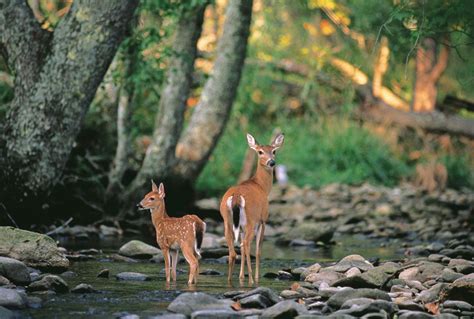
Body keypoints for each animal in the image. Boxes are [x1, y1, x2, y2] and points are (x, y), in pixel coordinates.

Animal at [219, 132, 284, 284]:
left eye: (274, 151)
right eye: (260, 152)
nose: (271, 162)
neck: (261, 186)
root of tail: (236, 196)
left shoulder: (241, 227)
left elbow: (241, 249)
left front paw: (241, 276)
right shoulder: (263, 219)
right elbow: (258, 251)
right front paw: (255, 276)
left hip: (227, 221)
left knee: (234, 251)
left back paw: (231, 279)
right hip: (251, 220)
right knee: (247, 245)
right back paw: (252, 280)